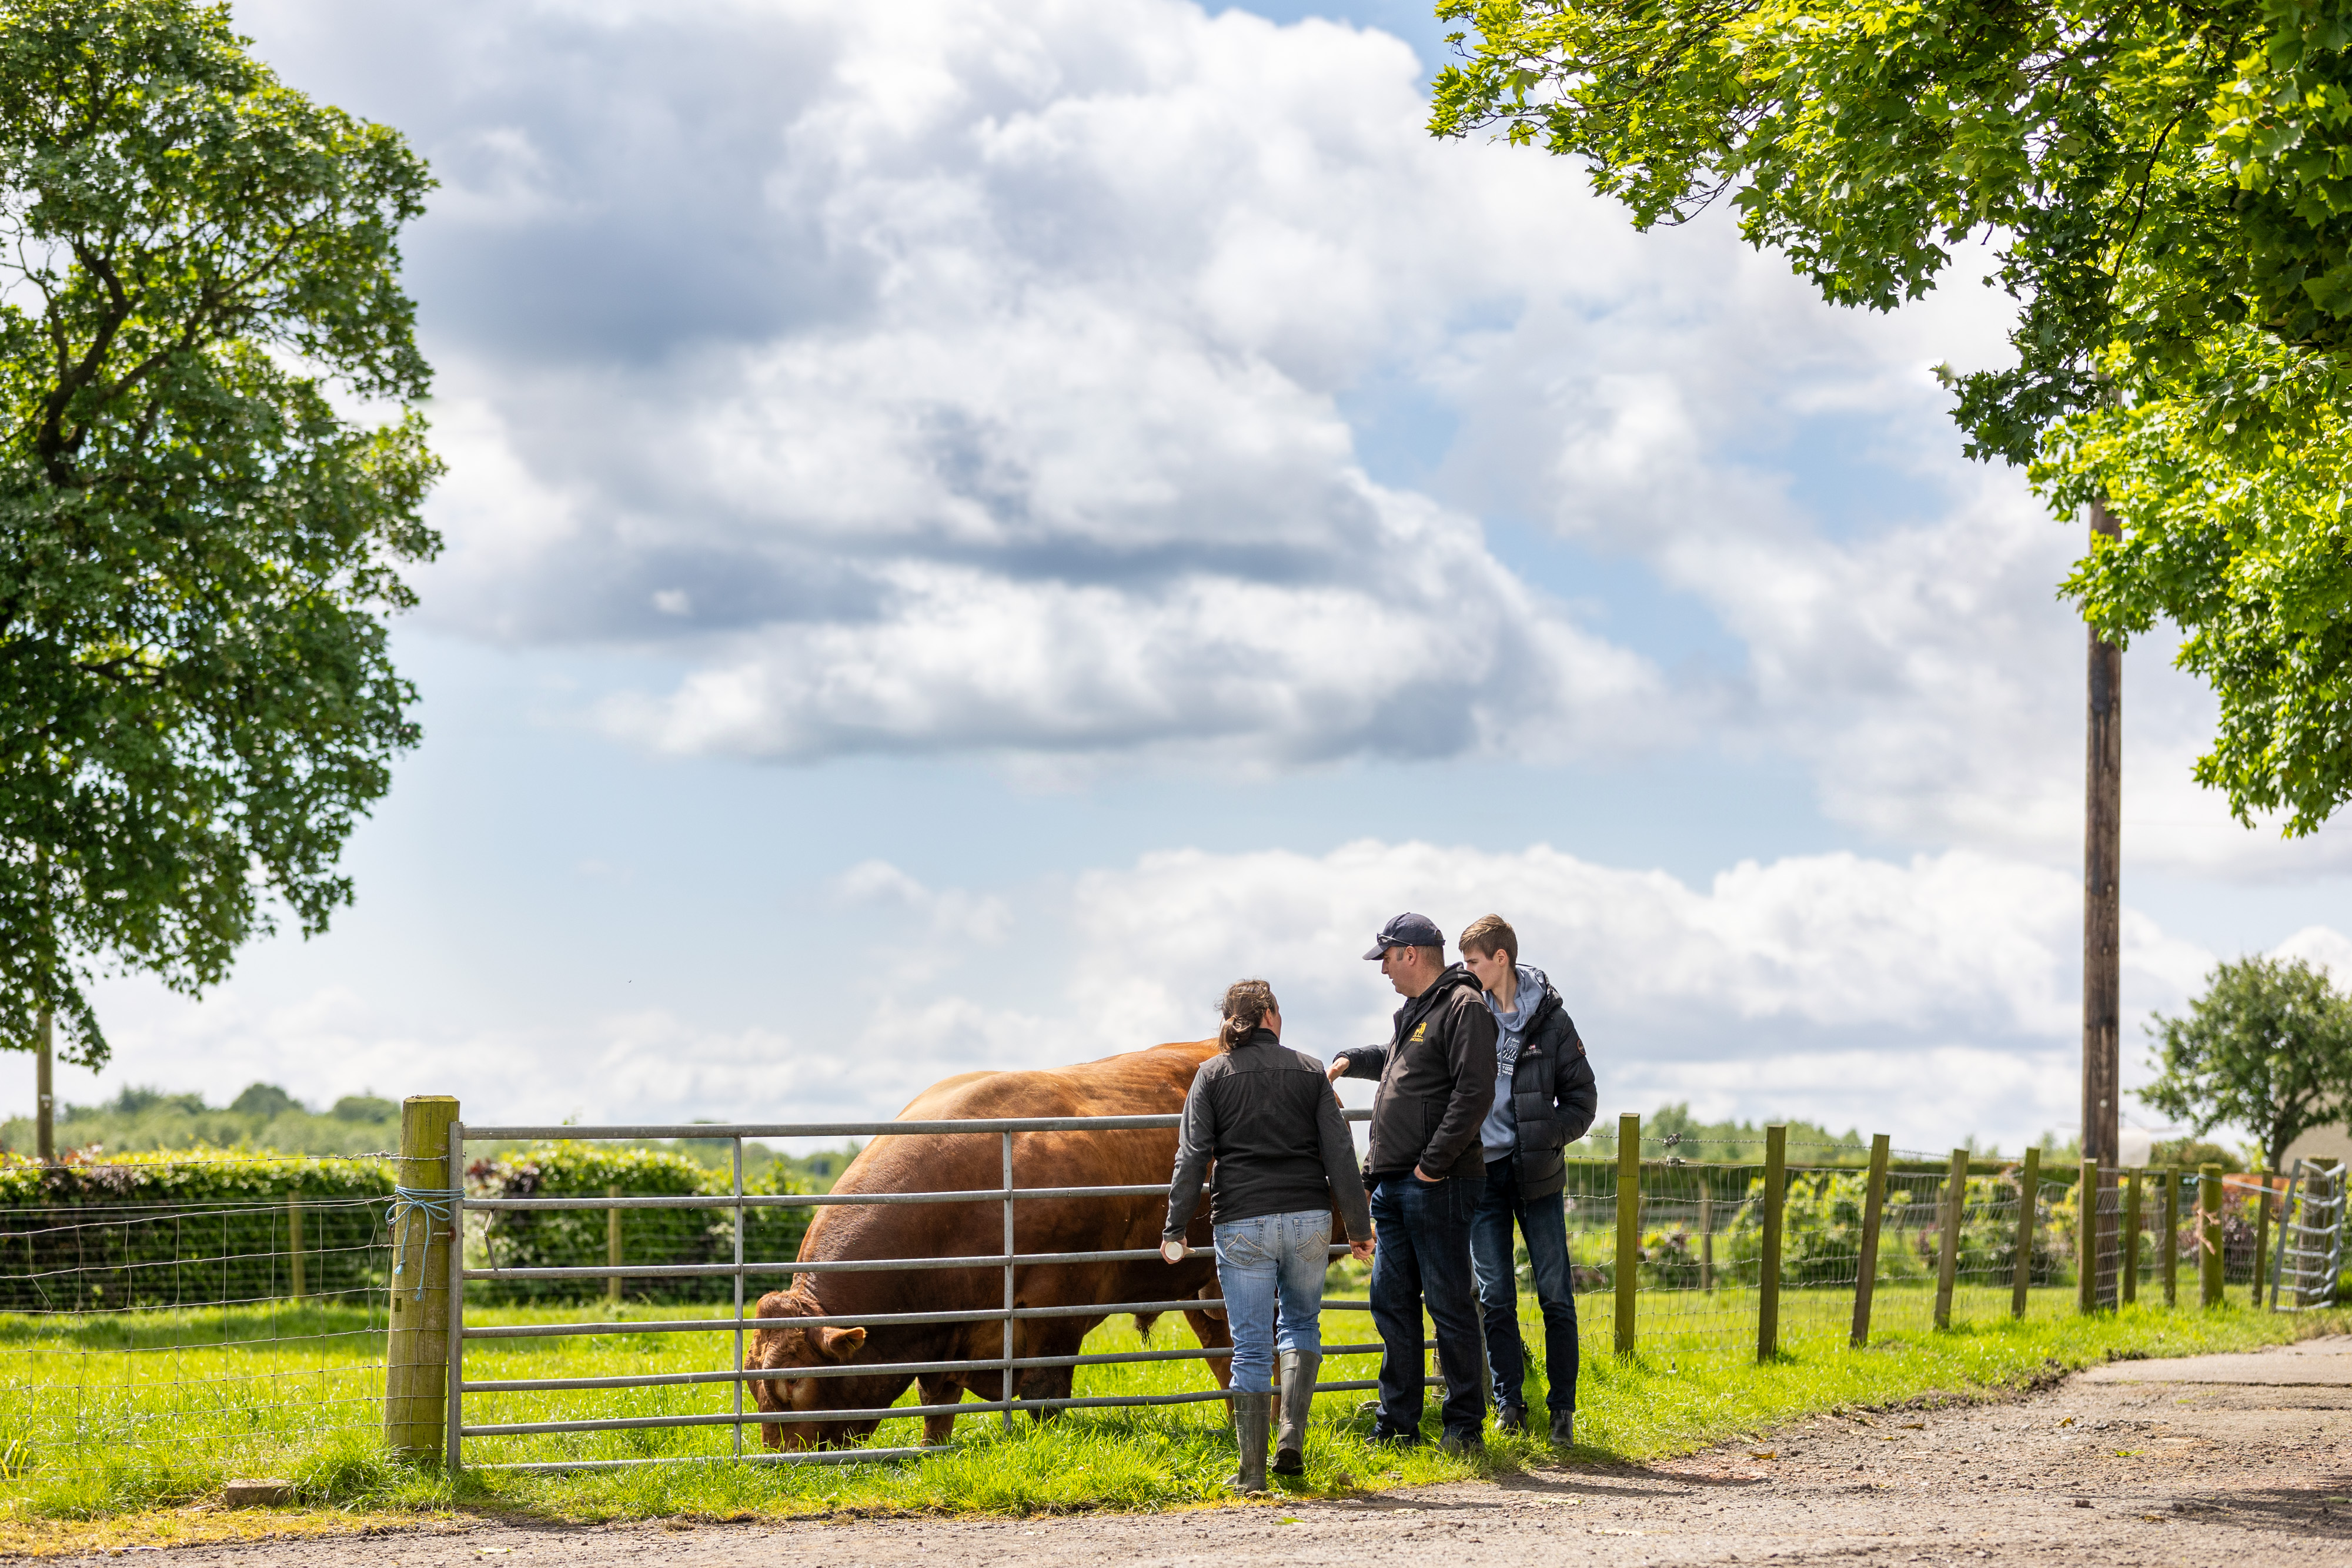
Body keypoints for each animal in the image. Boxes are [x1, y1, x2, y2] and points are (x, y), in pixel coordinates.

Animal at [745, 1038, 1242, 1450]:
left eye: (794, 1382)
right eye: (750, 1381)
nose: (778, 1459)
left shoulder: (1056, 1304)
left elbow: (1044, 1393)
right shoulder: (948, 1336)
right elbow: (937, 1402)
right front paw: (931, 1450)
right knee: (1225, 1354)